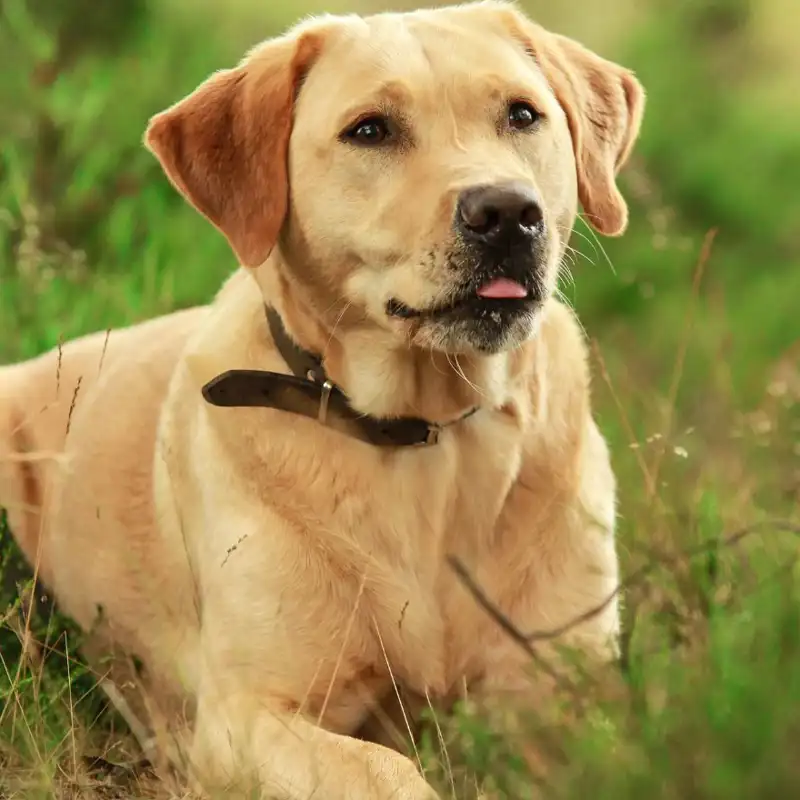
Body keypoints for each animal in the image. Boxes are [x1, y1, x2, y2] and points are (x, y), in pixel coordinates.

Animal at [0, 3, 644, 796]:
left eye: (523, 115)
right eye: (370, 130)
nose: (507, 212)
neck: (426, 433)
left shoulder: (565, 699)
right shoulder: (244, 717)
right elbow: (388, 768)